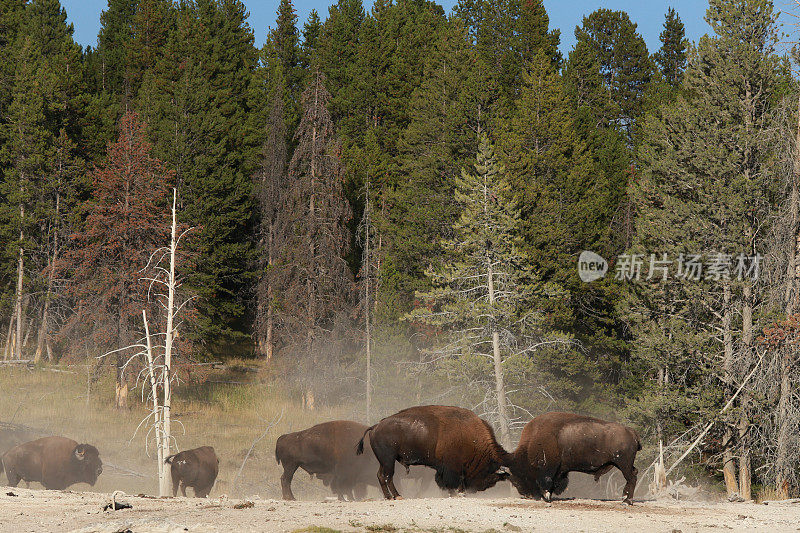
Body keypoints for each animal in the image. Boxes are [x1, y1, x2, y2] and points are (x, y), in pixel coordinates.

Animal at [354, 406, 510, 496]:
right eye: (487, 471)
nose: (477, 489)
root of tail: (375, 427)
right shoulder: (450, 468)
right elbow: (450, 481)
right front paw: (455, 493)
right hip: (388, 460)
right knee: (387, 476)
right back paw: (395, 496)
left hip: (384, 461)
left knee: (381, 476)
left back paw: (391, 497)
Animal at [510, 412, 640, 502]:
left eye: (521, 471)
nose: (523, 492)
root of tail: (631, 431)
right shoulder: (560, 470)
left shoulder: (549, 468)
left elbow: (548, 482)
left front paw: (546, 497)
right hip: (623, 464)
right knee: (633, 475)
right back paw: (625, 499)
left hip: (623, 464)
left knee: (631, 478)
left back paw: (627, 501)